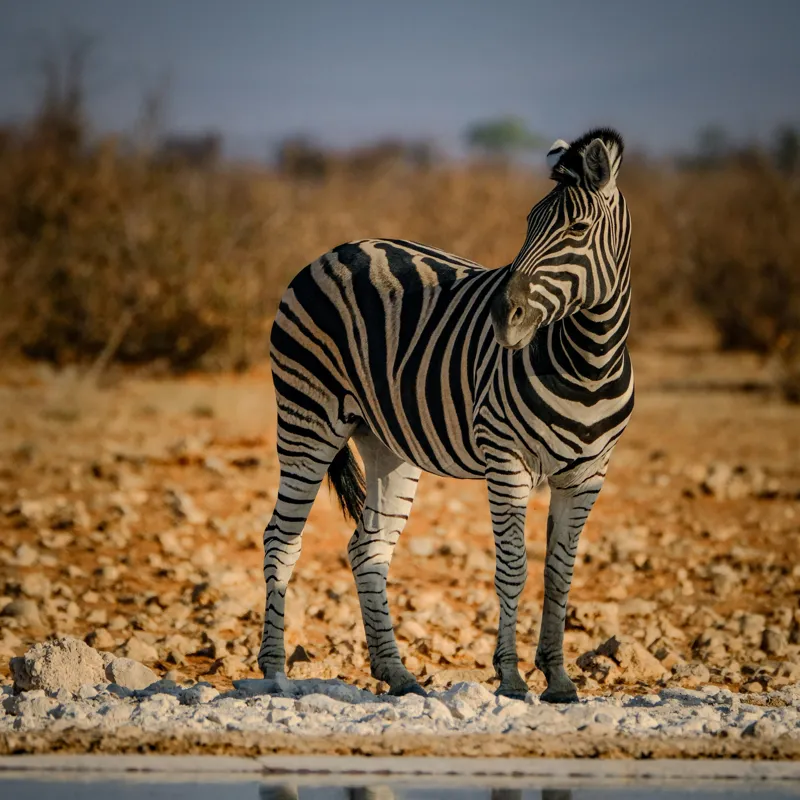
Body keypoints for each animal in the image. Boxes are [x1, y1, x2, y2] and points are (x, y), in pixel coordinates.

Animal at [258, 127, 633, 703]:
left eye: (577, 228)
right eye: (528, 223)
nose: (503, 316)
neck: (588, 362)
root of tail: (337, 250)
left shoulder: (590, 472)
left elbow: (560, 572)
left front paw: (559, 679)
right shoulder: (507, 460)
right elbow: (513, 566)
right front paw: (510, 678)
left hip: (385, 442)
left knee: (368, 548)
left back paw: (397, 673)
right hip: (307, 418)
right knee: (281, 539)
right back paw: (276, 673)